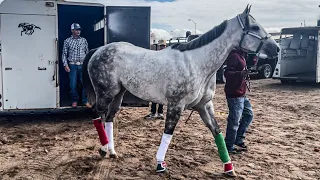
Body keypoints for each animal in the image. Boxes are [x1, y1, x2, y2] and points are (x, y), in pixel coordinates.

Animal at [82, 4, 278, 176]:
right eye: (255, 27)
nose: (276, 48)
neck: (197, 63)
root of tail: (99, 50)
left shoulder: (204, 106)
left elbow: (217, 132)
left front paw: (229, 168)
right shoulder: (176, 105)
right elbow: (168, 133)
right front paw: (160, 164)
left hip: (118, 94)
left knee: (109, 118)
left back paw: (111, 151)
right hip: (105, 93)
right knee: (96, 114)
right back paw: (102, 149)